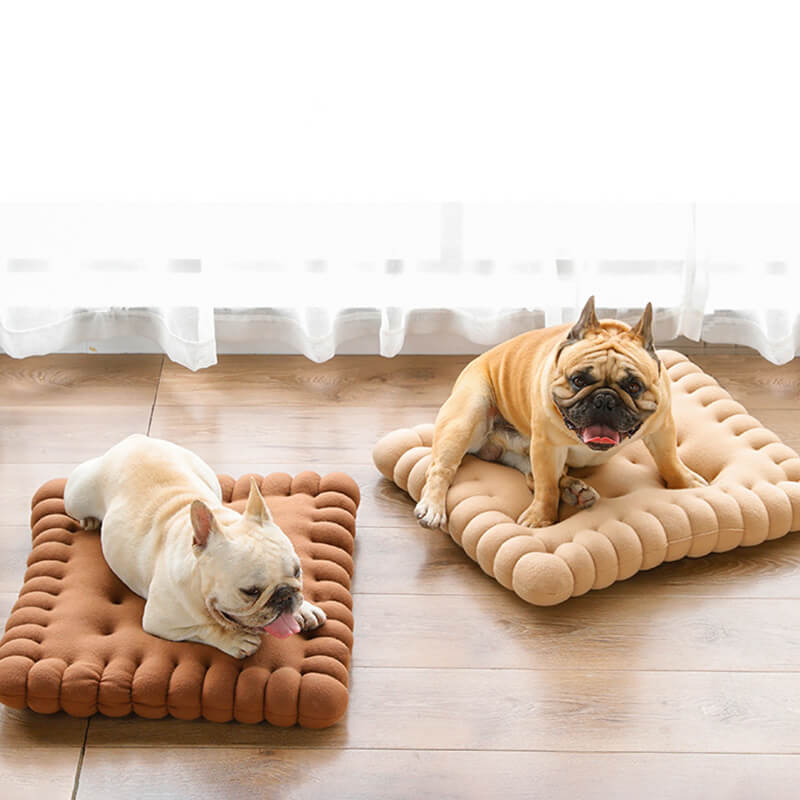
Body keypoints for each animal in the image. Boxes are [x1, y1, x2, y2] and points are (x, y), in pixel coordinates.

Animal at [62, 434, 324, 660]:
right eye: (250, 591)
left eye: (297, 572)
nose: (285, 595)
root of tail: (134, 440)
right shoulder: (161, 621)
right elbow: (204, 628)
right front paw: (235, 639)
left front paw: (304, 609)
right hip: (76, 497)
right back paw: (90, 520)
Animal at [412, 296, 708, 528]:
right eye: (578, 380)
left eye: (634, 386)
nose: (605, 400)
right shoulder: (546, 446)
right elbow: (545, 488)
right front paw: (540, 520)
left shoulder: (662, 428)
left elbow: (669, 461)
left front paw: (687, 484)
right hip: (466, 417)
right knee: (442, 468)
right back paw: (433, 507)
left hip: (521, 449)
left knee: (533, 477)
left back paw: (575, 490)